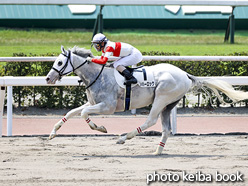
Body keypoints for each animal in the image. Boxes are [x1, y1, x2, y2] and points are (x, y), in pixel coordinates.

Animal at [46, 45, 248, 155]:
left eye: (59, 62)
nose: (48, 78)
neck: (98, 74)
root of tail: (185, 74)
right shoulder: (94, 102)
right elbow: (72, 112)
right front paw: (52, 133)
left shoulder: (107, 107)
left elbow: (84, 114)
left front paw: (100, 127)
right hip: (169, 104)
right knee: (166, 129)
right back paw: (157, 151)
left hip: (161, 97)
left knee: (150, 120)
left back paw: (123, 138)